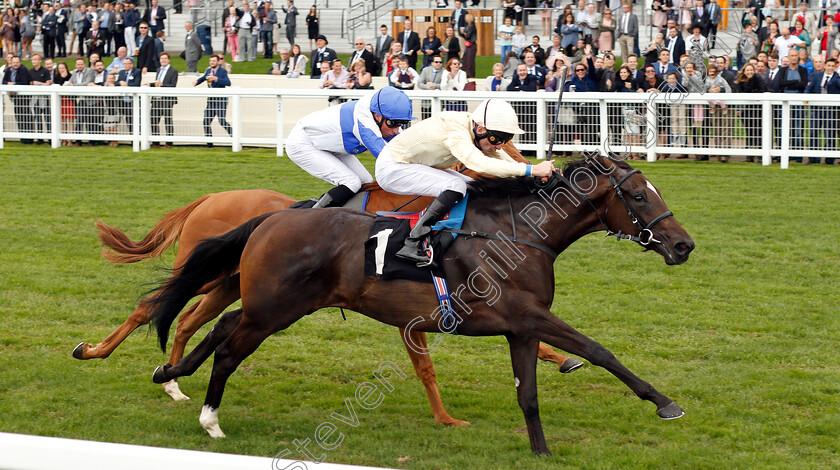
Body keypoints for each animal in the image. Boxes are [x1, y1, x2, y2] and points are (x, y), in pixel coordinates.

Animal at [146, 156, 696, 454]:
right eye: (639, 197)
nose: (684, 245)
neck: (518, 233)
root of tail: (272, 218)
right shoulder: (530, 315)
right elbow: (599, 350)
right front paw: (665, 402)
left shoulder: (520, 327)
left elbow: (529, 394)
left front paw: (540, 451)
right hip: (274, 310)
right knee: (227, 347)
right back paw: (210, 418)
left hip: (270, 305)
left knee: (220, 328)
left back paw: (170, 373)